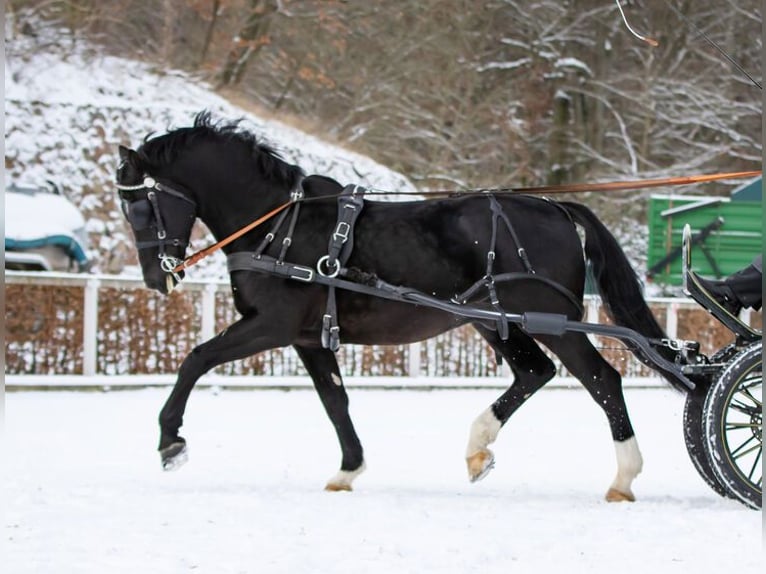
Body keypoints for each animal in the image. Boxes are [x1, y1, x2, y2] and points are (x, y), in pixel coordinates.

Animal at [116, 111, 687, 501]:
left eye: (139, 203)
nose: (157, 278)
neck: (279, 225)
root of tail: (557, 208)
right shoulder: (307, 338)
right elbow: (335, 401)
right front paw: (348, 468)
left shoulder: (269, 326)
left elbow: (195, 359)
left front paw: (170, 440)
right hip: (498, 322)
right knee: (534, 373)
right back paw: (478, 448)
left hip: (555, 323)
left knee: (602, 380)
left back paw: (624, 475)